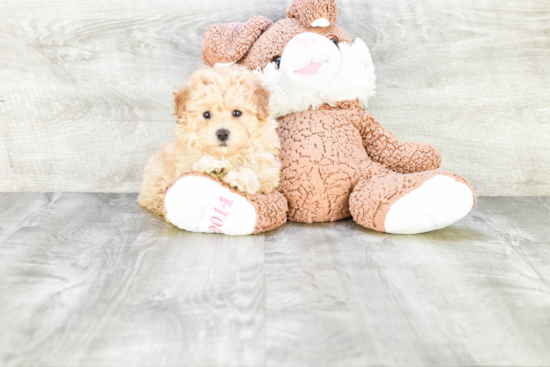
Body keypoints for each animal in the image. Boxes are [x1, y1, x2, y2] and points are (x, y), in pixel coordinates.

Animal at [138, 64, 284, 223]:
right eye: (206, 114)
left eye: (237, 113)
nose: (222, 133)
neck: (227, 154)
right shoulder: (184, 164)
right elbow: (195, 166)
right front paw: (213, 166)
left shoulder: (268, 170)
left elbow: (257, 172)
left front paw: (239, 178)